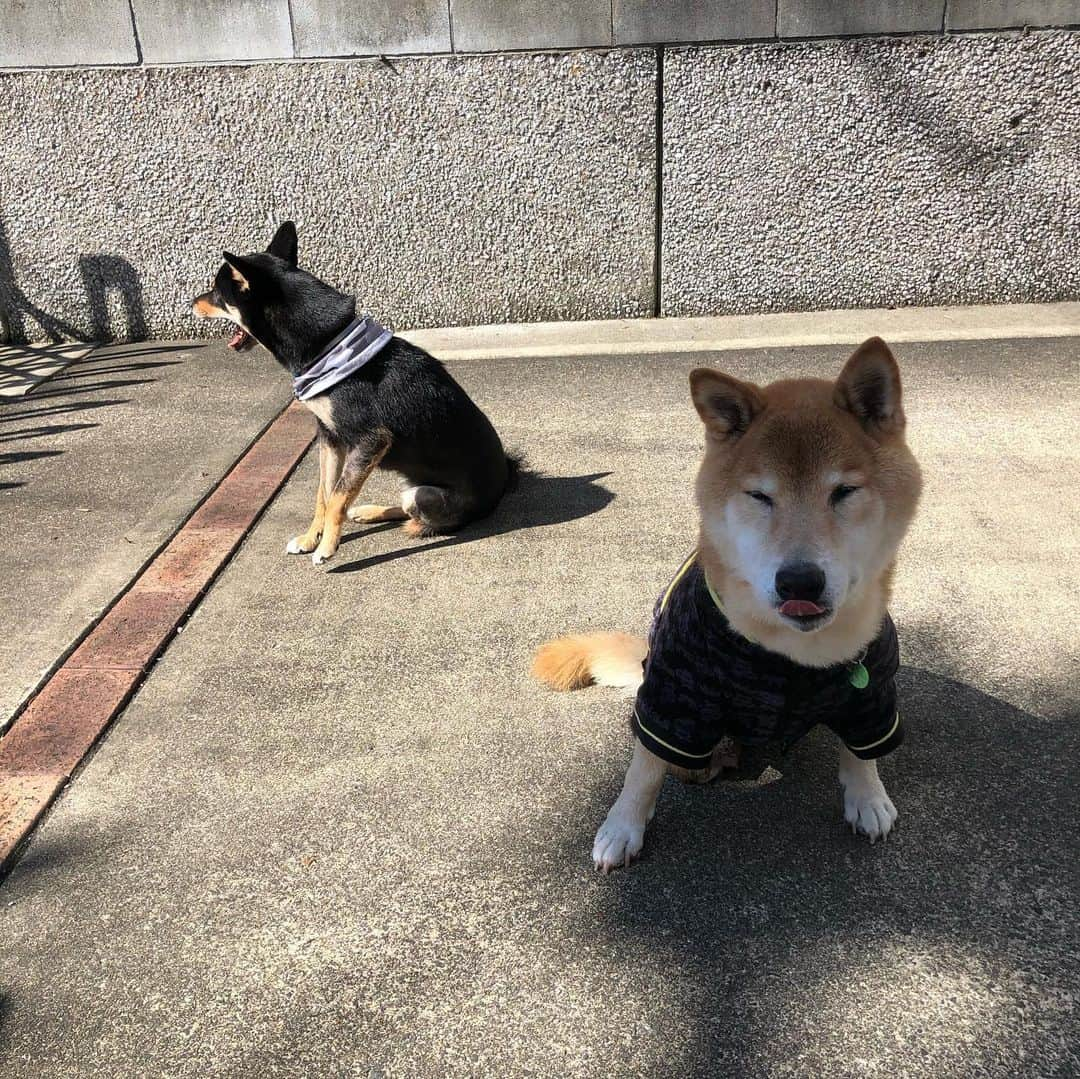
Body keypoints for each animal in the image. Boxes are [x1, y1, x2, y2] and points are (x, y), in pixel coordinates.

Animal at [192, 224, 511, 570]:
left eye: (217, 293)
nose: (192, 302)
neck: (329, 344)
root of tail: (505, 484)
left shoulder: (370, 440)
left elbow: (337, 498)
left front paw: (327, 548)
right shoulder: (330, 437)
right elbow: (325, 495)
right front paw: (311, 538)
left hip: (424, 494)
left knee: (423, 518)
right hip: (409, 487)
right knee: (397, 506)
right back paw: (370, 512)